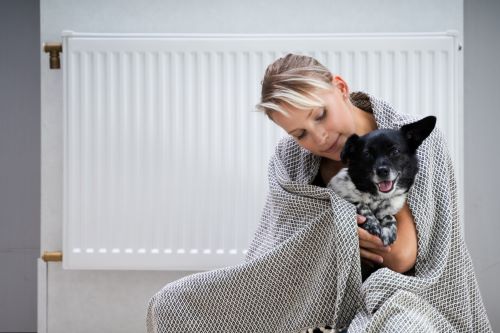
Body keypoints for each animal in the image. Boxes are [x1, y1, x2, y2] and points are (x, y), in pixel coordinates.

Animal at [326, 115, 436, 245]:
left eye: (395, 151)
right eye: (367, 154)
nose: (382, 171)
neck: (377, 197)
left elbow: (389, 216)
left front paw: (389, 229)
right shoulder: (339, 193)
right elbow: (361, 204)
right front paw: (372, 223)